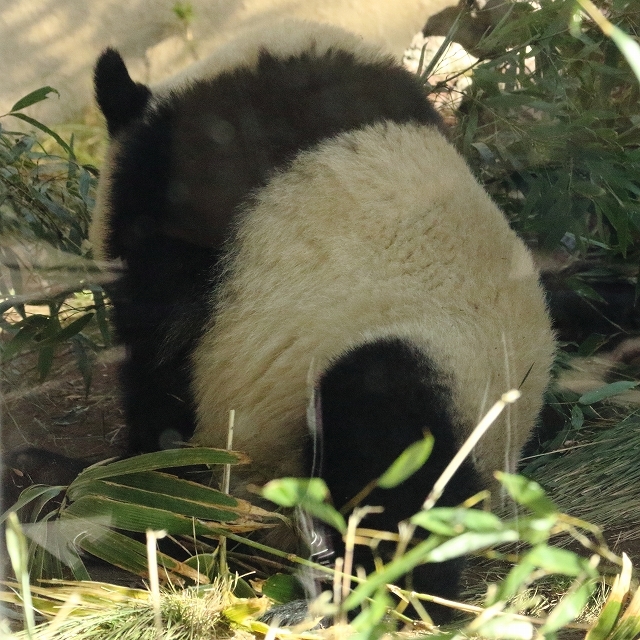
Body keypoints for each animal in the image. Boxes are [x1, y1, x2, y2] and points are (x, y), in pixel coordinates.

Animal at [91, 20, 556, 624]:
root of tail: (495, 479)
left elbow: (160, 362)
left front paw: (139, 487)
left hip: (425, 376)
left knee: (384, 442)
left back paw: (351, 590)